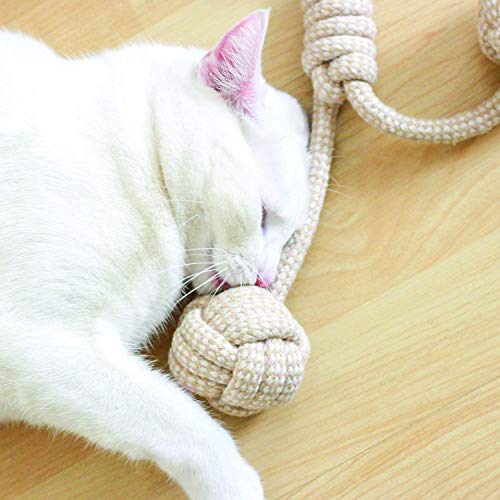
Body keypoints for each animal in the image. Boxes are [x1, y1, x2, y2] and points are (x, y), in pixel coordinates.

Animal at [0, 9, 310, 499]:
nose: (264, 277)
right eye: (262, 215)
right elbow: (190, 432)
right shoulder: (35, 343)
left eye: (290, 236)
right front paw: (236, 487)